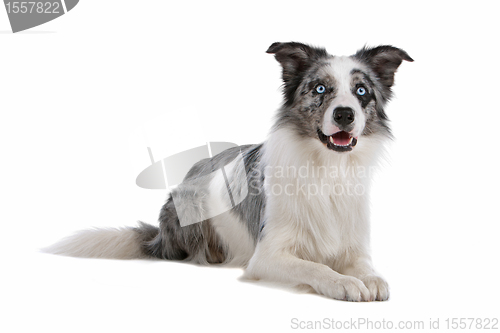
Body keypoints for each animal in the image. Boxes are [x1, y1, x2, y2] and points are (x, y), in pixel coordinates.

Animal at [45, 42, 412, 300]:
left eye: (361, 91)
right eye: (320, 88)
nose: (345, 115)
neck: (329, 169)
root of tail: (157, 235)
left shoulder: (354, 244)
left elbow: (365, 267)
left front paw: (370, 279)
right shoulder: (267, 256)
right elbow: (316, 267)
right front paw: (344, 283)